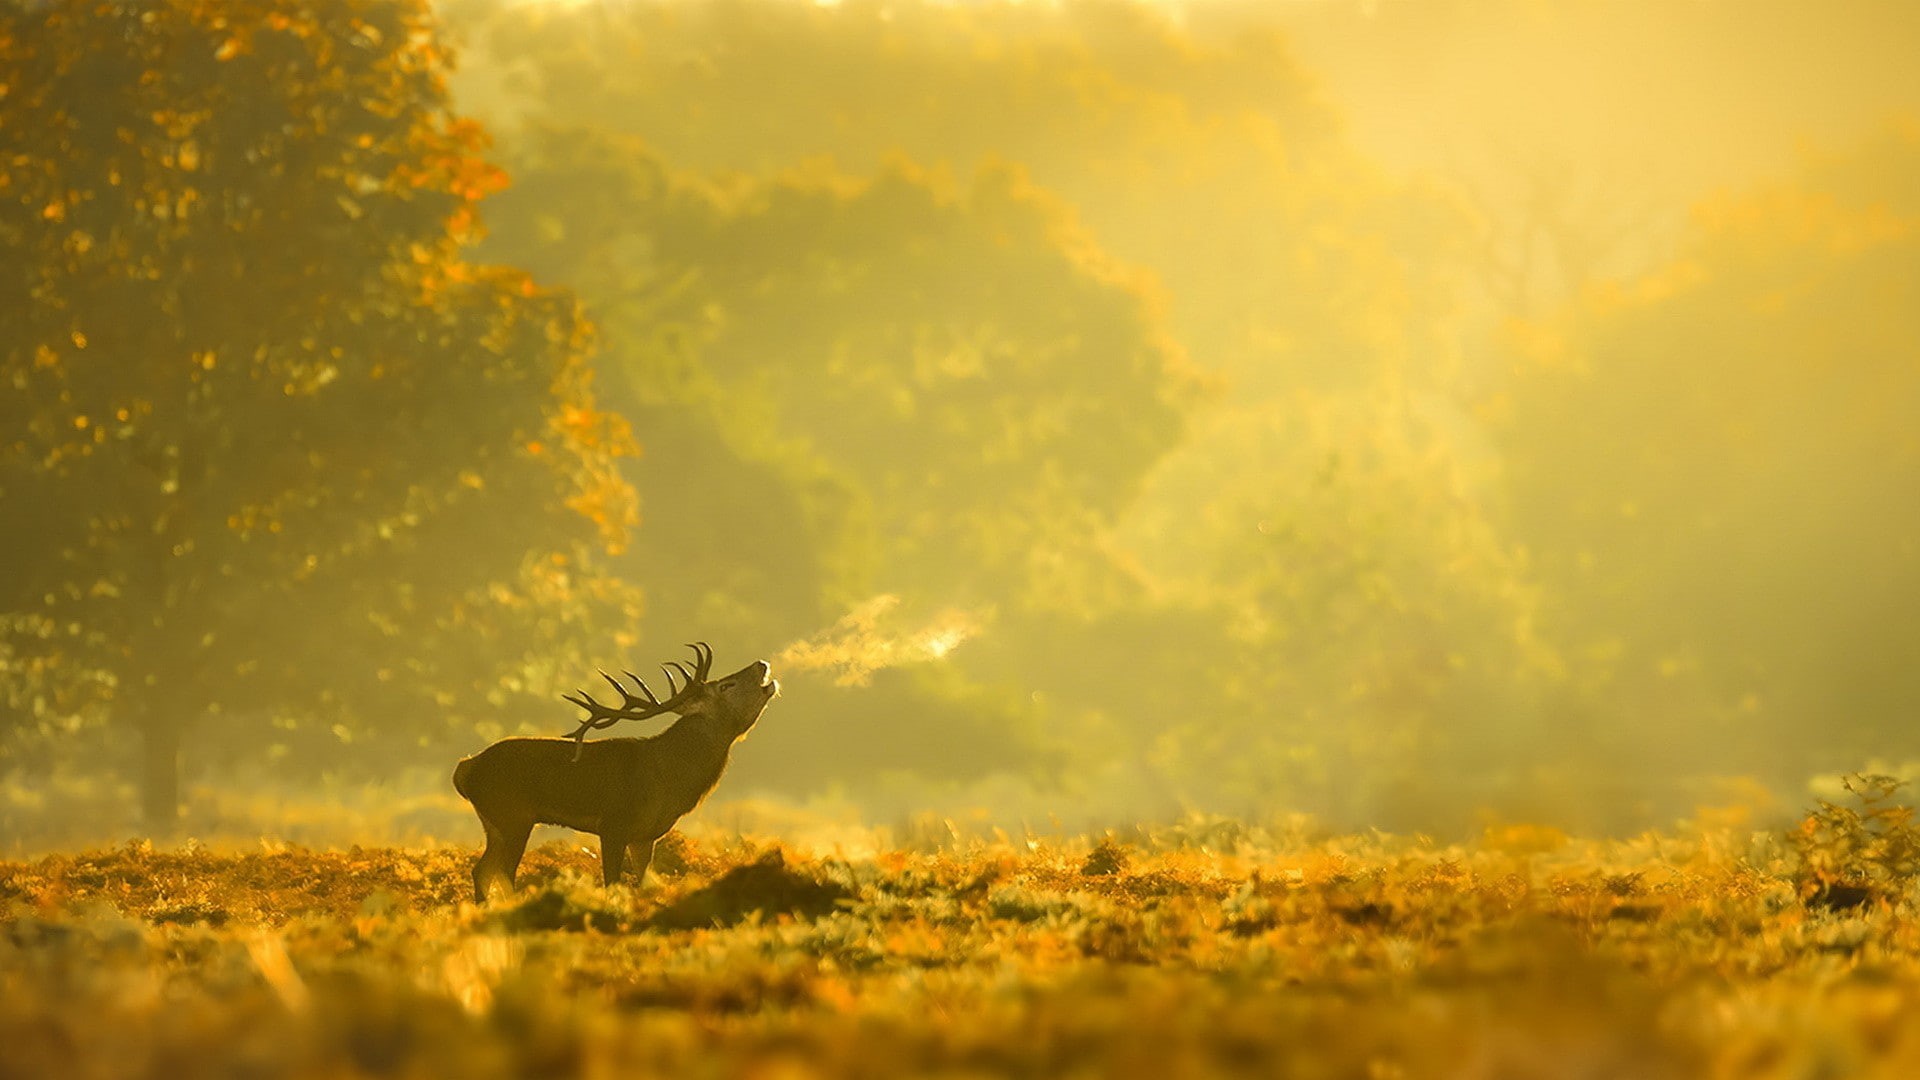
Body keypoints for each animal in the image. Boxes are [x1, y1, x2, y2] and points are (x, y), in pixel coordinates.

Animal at [452, 642, 778, 903]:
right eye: (726, 686)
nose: (761, 663)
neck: (668, 778)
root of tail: (465, 768)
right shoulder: (613, 824)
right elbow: (612, 883)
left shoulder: (645, 836)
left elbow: (644, 883)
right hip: (513, 816)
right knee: (503, 874)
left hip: (495, 822)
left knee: (481, 870)